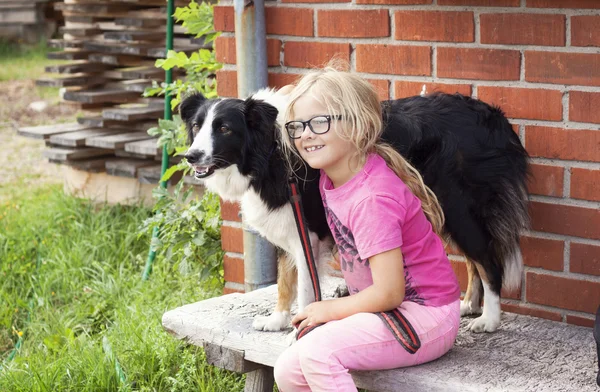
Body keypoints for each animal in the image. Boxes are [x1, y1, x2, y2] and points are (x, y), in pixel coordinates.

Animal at [180, 87, 528, 332]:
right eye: (197, 126)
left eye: (225, 129)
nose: (190, 156)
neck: (270, 149)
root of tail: (493, 115)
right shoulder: (289, 224)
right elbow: (284, 279)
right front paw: (277, 320)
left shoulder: (306, 230)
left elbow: (303, 286)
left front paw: (300, 330)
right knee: (473, 259)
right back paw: (468, 304)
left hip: (458, 205)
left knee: (487, 260)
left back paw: (489, 319)